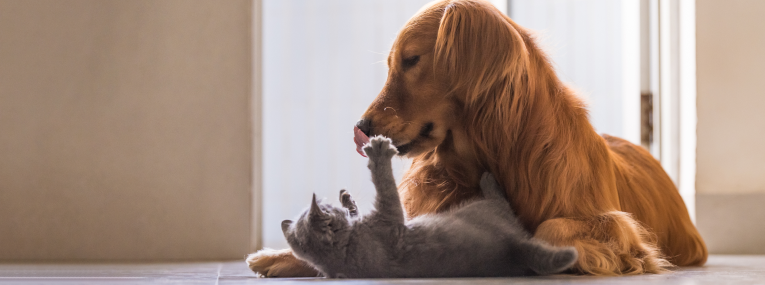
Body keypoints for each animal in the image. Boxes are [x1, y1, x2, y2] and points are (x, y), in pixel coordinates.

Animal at [284, 136, 576, 278]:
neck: (345, 248)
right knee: (500, 200)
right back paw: (488, 179)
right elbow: (385, 185)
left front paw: (348, 200)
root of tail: (514, 246)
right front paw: (378, 154)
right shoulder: (391, 219)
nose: (334, 202)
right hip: (481, 208)